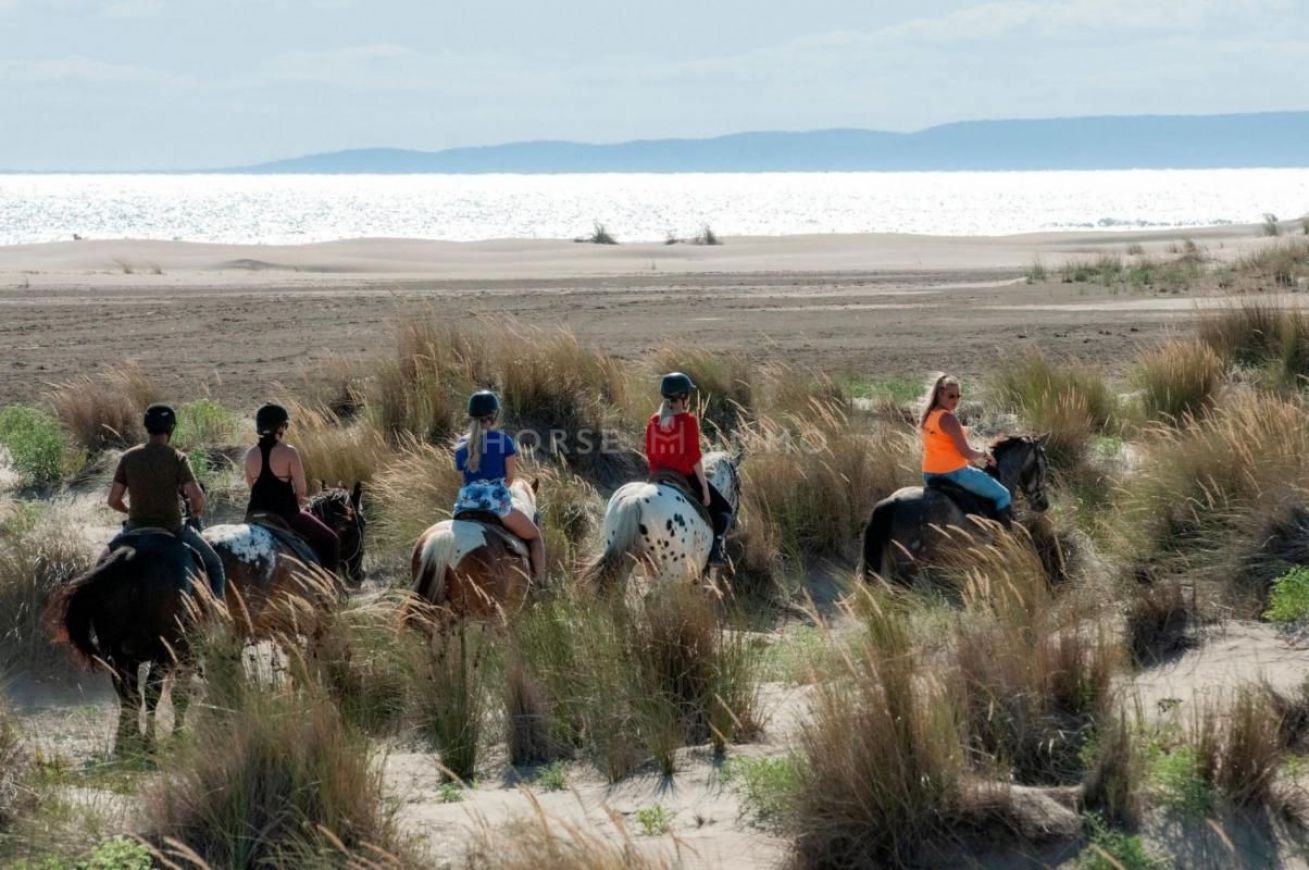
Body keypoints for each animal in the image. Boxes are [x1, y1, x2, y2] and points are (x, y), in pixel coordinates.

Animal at [45, 533, 208, 754]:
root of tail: (131, 557)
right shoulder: (183, 655)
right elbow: (177, 696)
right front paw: (177, 736)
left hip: (118, 654)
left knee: (129, 694)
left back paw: (125, 743)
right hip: (162, 653)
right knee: (150, 694)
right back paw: (149, 743)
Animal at [583, 450, 741, 592]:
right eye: (738, 487)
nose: (736, 524)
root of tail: (634, 501)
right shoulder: (701, 576)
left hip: (626, 561)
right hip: (670, 573)